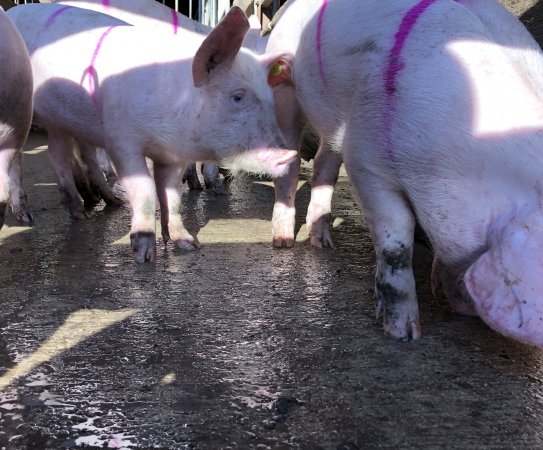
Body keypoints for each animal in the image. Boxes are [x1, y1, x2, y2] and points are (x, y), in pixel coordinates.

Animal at [7, 3, 298, 262]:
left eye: (270, 100)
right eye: (237, 97)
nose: (289, 153)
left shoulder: (173, 156)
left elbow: (172, 195)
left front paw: (189, 244)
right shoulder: (121, 141)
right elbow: (145, 190)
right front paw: (144, 257)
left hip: (63, 123)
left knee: (60, 154)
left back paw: (97, 205)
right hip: (21, 111)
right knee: (19, 157)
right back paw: (34, 216)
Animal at [268, 0, 543, 348]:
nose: (467, 308)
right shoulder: (366, 160)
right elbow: (396, 244)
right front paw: (404, 333)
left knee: (323, 164)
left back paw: (323, 244)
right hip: (284, 87)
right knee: (288, 162)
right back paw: (283, 241)